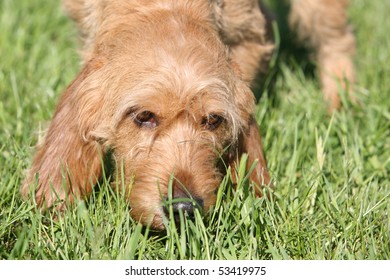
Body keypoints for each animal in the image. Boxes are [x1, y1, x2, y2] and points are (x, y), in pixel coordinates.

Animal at [22, 0, 356, 229]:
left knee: (335, 36)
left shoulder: (248, 34)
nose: (183, 208)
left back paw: (341, 103)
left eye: (213, 120)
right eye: (144, 116)